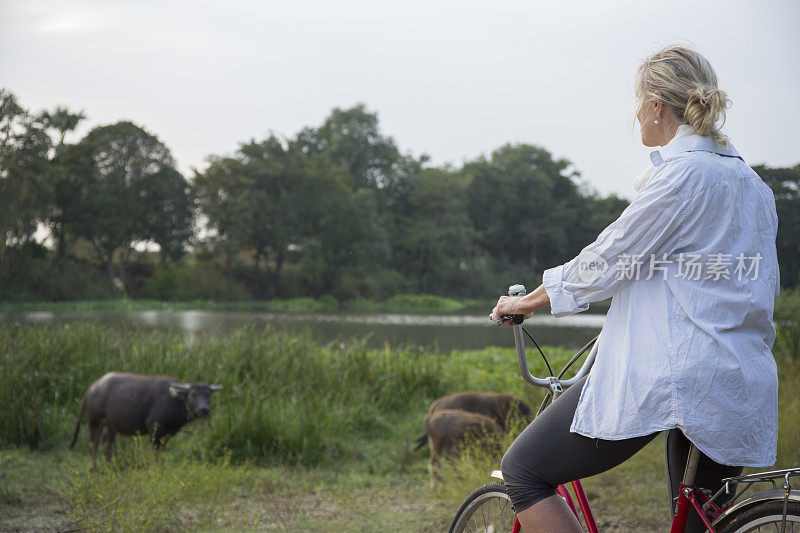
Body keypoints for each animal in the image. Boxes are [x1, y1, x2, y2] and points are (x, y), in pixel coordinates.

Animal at [68, 370, 222, 466]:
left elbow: (160, 451)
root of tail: (91, 388)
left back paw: (111, 468)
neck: (174, 401)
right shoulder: (154, 428)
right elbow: (154, 451)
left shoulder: (166, 433)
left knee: (106, 444)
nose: (204, 410)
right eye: (193, 394)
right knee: (93, 444)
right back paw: (93, 469)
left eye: (208, 394)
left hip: (110, 425)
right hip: (94, 420)